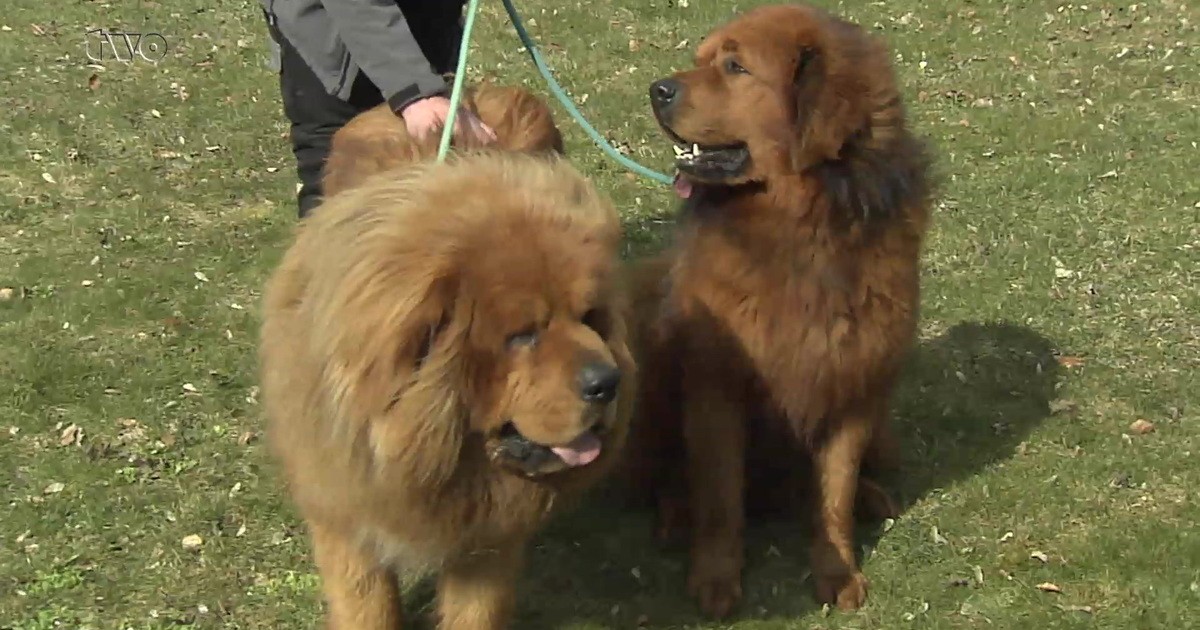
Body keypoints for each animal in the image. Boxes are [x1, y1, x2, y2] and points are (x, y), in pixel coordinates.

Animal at [258, 151, 635, 629]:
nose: (608, 382)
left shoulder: (486, 541)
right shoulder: (347, 519)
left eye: (589, 318)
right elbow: (368, 607)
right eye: (523, 335)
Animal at [629, 2, 932, 617]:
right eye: (703, 59)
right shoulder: (717, 383)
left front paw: (837, 570)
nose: (658, 89)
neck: (801, 224)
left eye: (736, 66)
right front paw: (716, 577)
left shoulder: (853, 382)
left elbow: (834, 491)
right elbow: (720, 495)